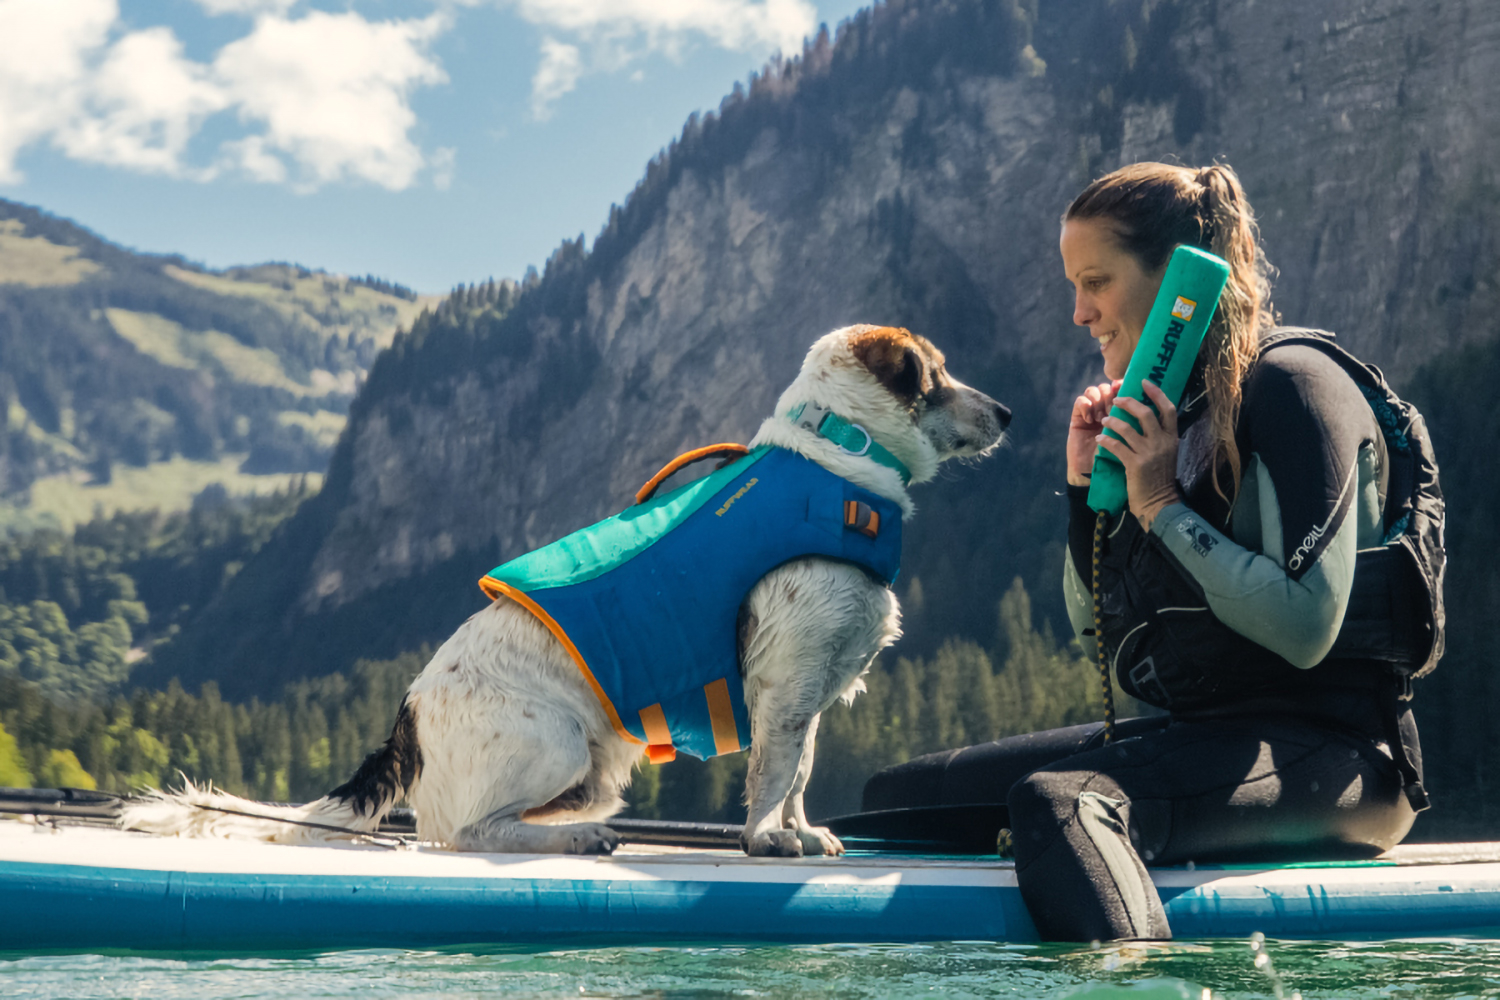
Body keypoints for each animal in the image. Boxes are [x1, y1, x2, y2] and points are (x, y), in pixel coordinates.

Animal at [126, 325, 1008, 857]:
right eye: (935, 373)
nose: (1006, 410)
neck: (837, 455)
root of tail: (406, 718)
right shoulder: (787, 679)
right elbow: (771, 774)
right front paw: (765, 838)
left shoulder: (813, 690)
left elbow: (798, 774)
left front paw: (802, 832)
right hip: (553, 741)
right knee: (468, 833)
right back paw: (574, 842)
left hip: (592, 767)